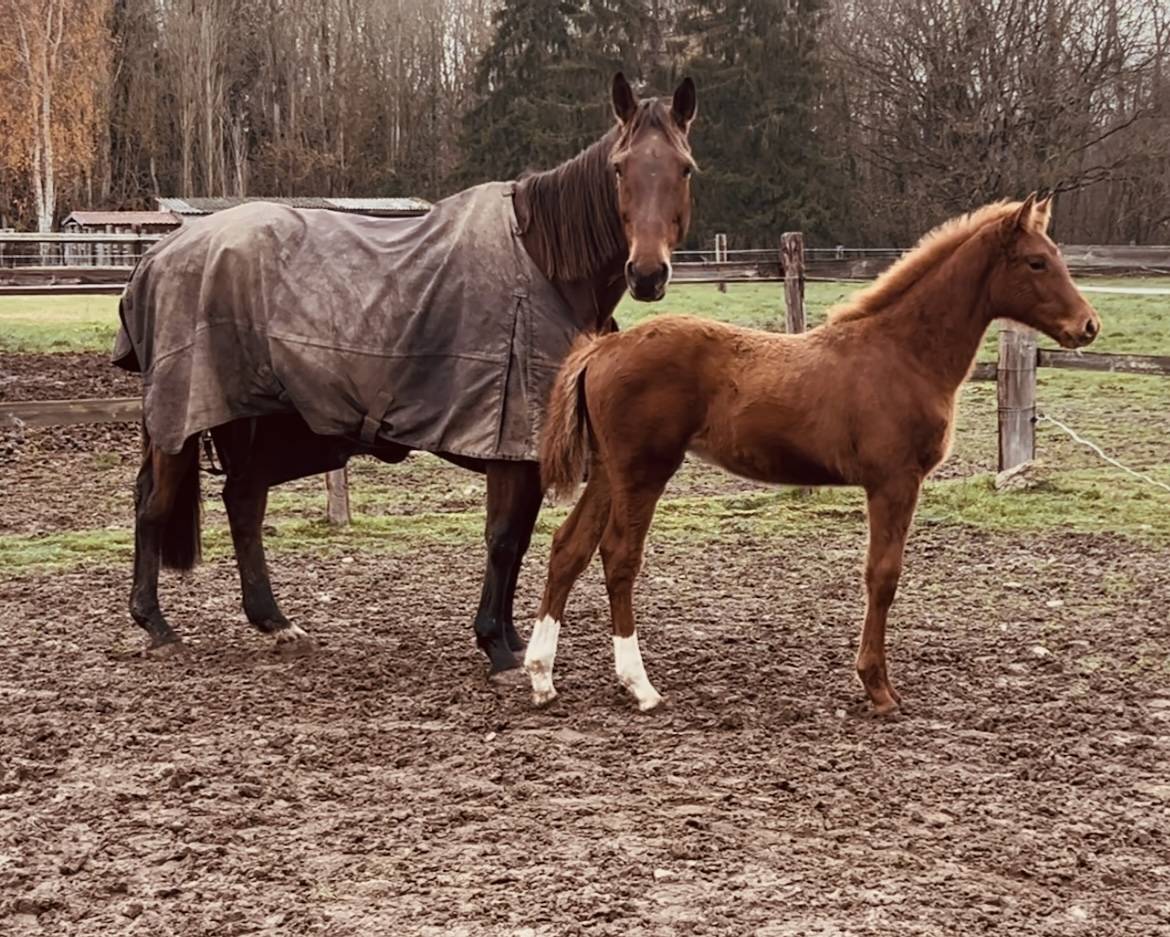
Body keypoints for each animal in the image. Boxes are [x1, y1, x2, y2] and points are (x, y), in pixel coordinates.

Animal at [115, 73, 699, 676]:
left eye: (684, 168)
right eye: (619, 168)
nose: (648, 273)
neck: (543, 266)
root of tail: (160, 252)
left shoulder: (529, 448)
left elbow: (517, 541)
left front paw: (511, 640)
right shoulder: (507, 440)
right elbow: (502, 539)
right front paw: (495, 645)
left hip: (256, 420)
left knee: (244, 502)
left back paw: (275, 622)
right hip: (183, 417)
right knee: (154, 503)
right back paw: (157, 625)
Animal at [523, 193, 1101, 714]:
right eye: (1036, 261)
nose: (1089, 325)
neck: (903, 355)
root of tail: (603, 347)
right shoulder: (895, 481)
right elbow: (882, 576)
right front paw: (878, 689)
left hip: (607, 471)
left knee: (568, 548)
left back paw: (542, 678)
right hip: (642, 470)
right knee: (619, 555)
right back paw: (640, 687)